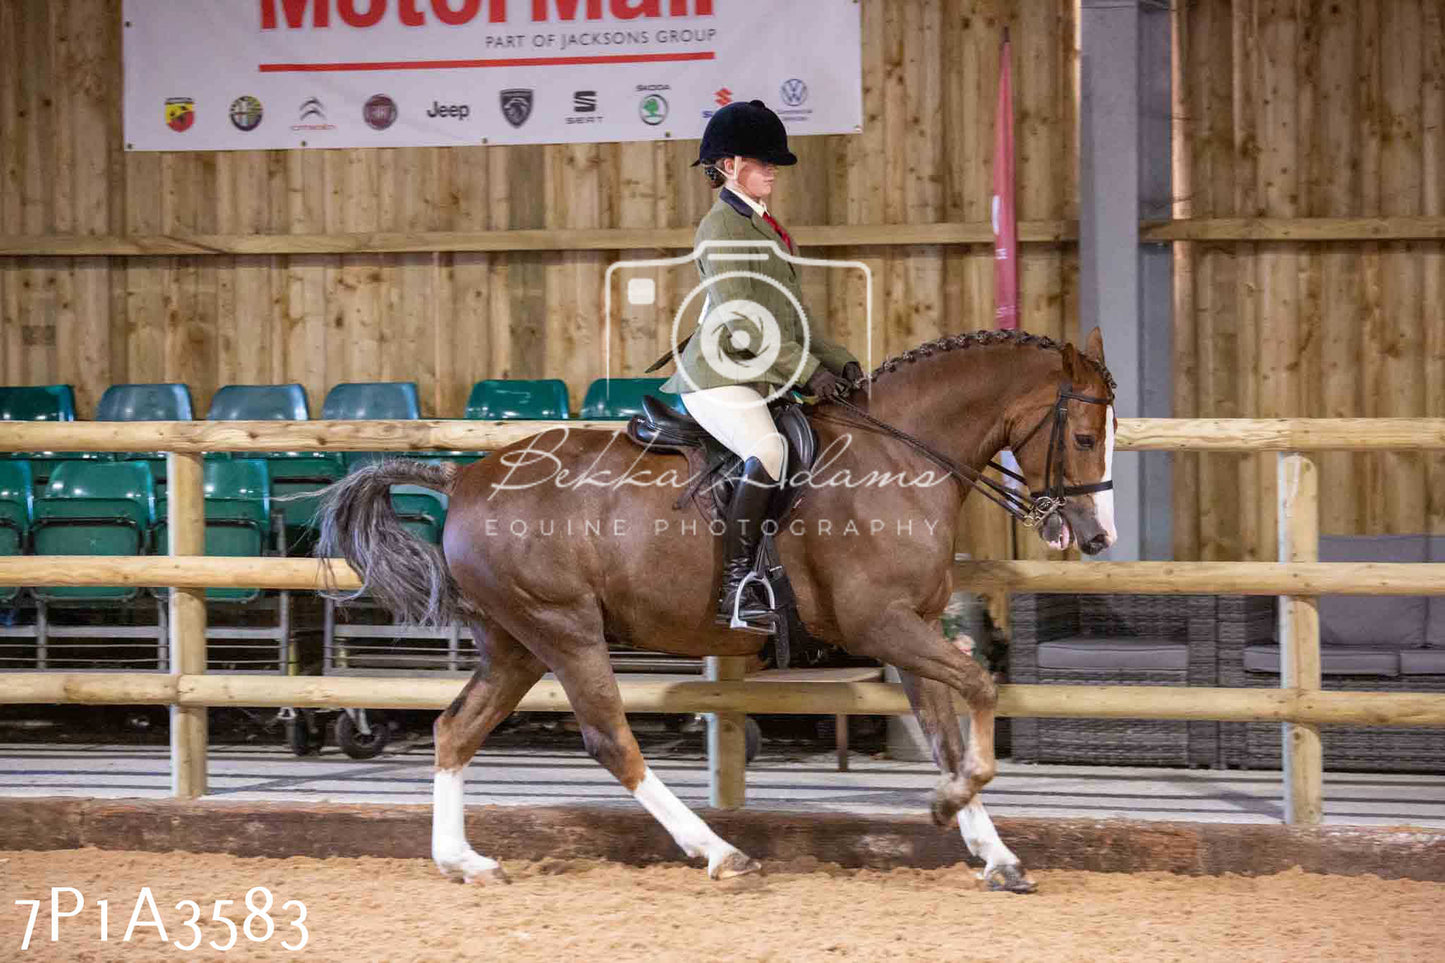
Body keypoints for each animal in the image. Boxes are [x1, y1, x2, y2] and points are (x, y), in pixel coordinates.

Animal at [316, 326, 1115, 890]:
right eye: (1081, 436)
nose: (1096, 536)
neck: (900, 458)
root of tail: (463, 478)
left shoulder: (911, 627)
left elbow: (950, 732)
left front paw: (993, 851)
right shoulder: (881, 624)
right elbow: (980, 688)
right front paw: (950, 804)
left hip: (515, 642)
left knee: (455, 729)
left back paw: (463, 861)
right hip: (565, 629)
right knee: (611, 740)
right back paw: (720, 851)